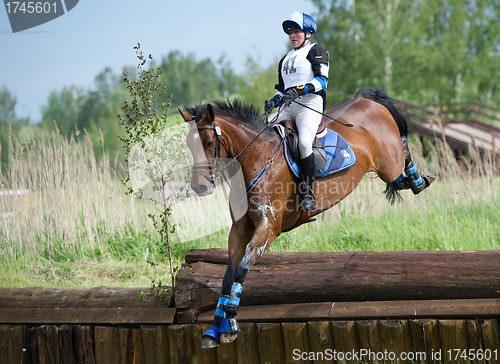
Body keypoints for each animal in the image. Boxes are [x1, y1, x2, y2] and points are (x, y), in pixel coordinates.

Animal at [180, 87, 434, 346]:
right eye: (190, 146)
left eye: (209, 142)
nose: (199, 187)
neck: (257, 158)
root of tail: (365, 100)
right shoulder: (240, 228)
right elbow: (228, 276)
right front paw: (214, 329)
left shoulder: (268, 228)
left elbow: (241, 270)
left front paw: (230, 323)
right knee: (399, 175)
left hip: (388, 164)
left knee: (404, 148)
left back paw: (418, 180)